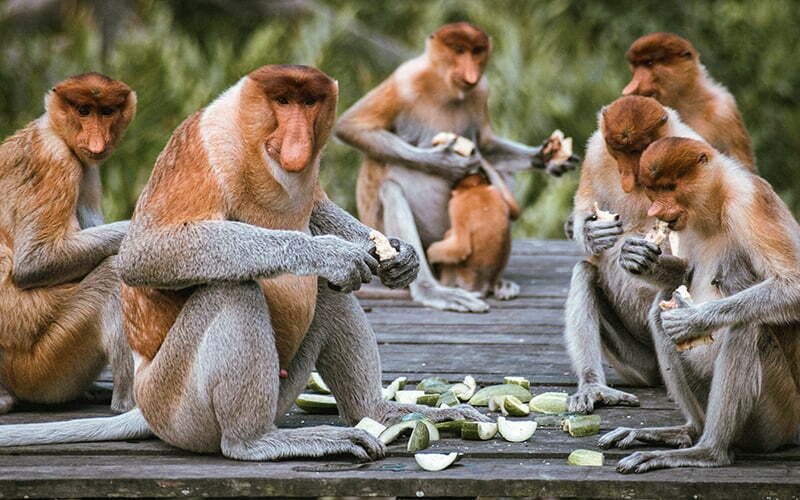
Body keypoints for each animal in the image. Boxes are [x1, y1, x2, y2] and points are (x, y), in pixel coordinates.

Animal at [0, 71, 136, 414]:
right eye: (84, 111)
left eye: (107, 112)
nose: (97, 142)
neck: (53, 129)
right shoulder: (55, 159)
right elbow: (34, 262)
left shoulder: (86, 168)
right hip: (44, 365)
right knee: (111, 274)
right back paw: (126, 403)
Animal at [334, 23, 580, 314]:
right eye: (459, 50)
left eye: (477, 51)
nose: (471, 73)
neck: (445, 88)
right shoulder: (405, 80)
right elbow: (351, 126)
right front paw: (445, 162)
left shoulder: (481, 90)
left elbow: (485, 145)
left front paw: (547, 157)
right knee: (391, 183)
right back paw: (430, 288)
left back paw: (498, 282)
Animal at [564, 95, 708, 412]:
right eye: (617, 151)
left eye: (639, 150)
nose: (629, 179)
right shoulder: (596, 151)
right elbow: (583, 205)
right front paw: (593, 233)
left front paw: (639, 255)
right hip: (636, 363)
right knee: (584, 271)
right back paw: (592, 386)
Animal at [600, 138, 800, 472]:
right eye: (653, 190)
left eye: (669, 187)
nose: (655, 210)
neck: (716, 201)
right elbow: (684, 271)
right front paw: (634, 256)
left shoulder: (750, 203)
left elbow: (793, 284)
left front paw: (693, 319)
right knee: (659, 309)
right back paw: (686, 432)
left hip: (780, 416)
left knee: (747, 326)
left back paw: (708, 451)